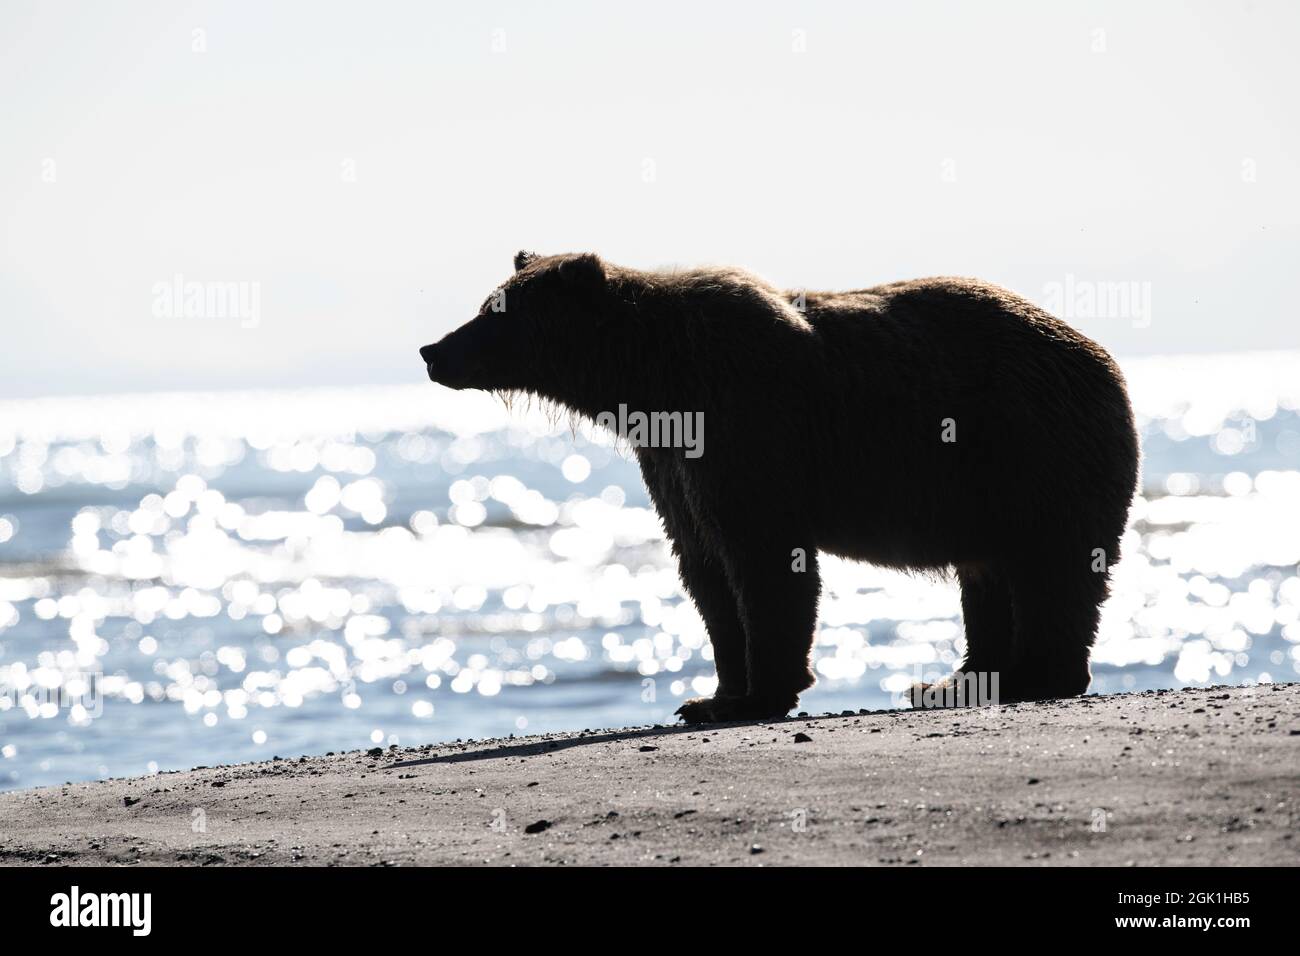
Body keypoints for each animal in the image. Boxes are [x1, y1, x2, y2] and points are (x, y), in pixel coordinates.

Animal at [419, 251, 1140, 723]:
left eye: (495, 310)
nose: (433, 350)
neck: (652, 381)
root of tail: (1107, 360)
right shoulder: (672, 461)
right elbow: (705, 569)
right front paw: (714, 695)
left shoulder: (746, 428)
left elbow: (762, 559)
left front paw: (761, 693)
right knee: (987, 577)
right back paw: (956, 681)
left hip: (1033, 452)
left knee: (1050, 568)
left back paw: (1036, 676)